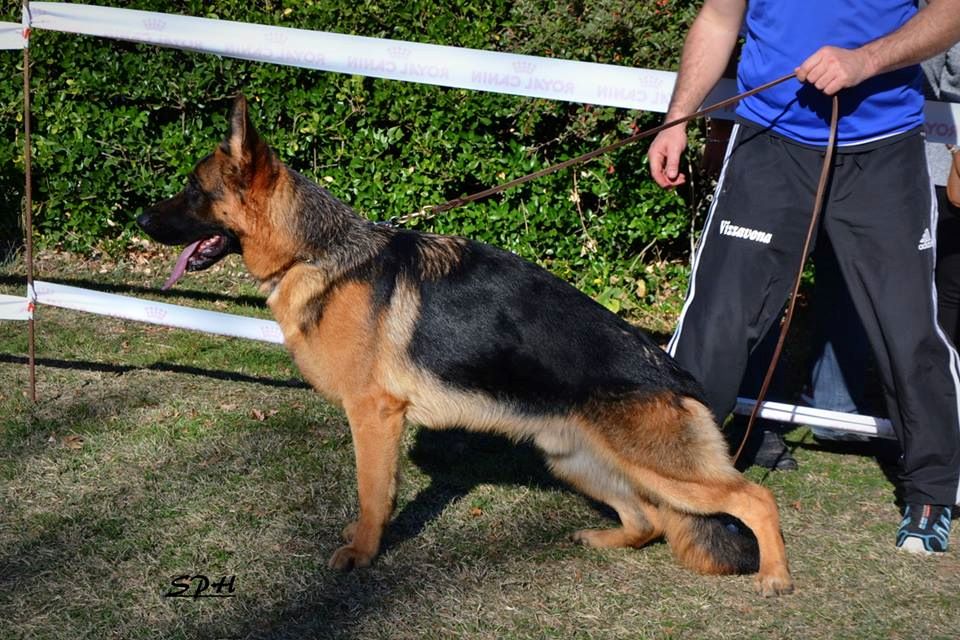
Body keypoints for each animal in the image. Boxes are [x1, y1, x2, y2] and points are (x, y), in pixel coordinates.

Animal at [137, 95, 796, 596]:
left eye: (193, 190)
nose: (140, 221)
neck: (316, 252)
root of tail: (673, 374)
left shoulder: (374, 416)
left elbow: (373, 494)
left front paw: (362, 554)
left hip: (663, 469)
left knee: (754, 498)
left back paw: (775, 576)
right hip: (578, 461)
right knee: (650, 520)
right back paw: (604, 539)